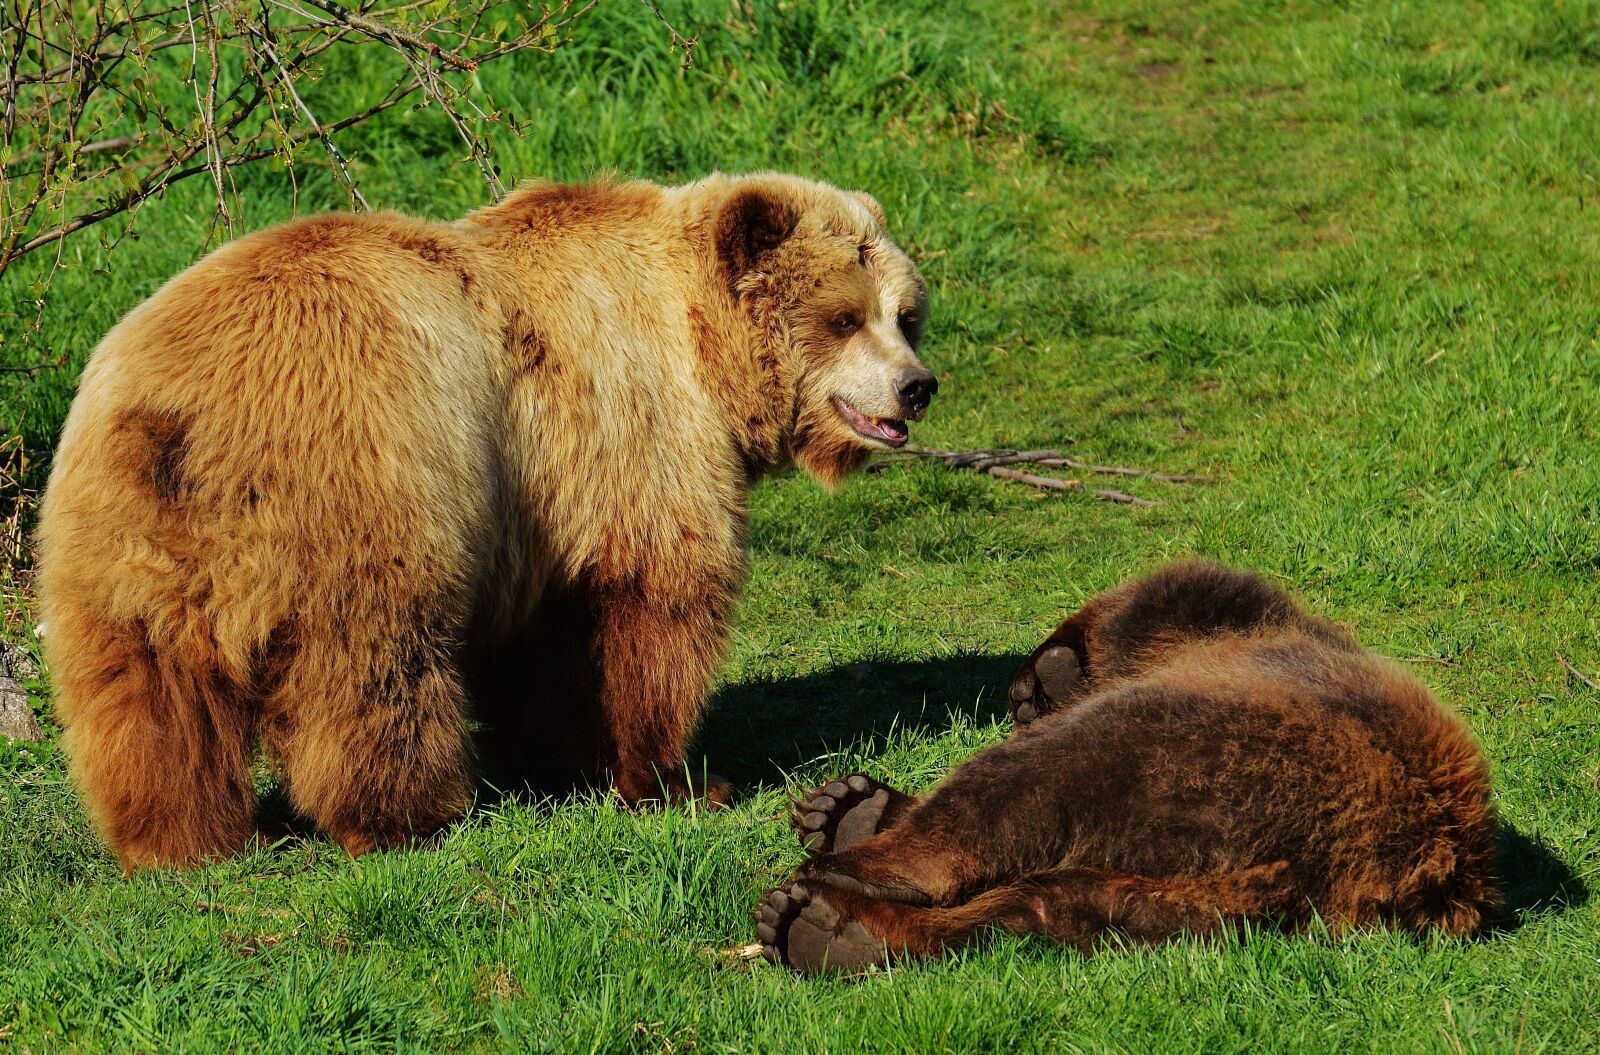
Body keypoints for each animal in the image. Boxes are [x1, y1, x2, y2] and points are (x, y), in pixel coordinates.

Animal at [35, 172, 937, 872]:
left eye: (905, 312)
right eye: (843, 317)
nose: (916, 385)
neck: (698, 342)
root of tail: (175, 416)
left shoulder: (534, 512)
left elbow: (544, 649)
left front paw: (554, 757)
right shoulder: (625, 427)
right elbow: (643, 614)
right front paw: (678, 779)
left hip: (117, 543)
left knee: (149, 701)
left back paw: (175, 836)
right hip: (366, 476)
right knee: (376, 661)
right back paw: (408, 816)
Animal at [756, 562, 1500, 973]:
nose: (1021, 697)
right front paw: (847, 803)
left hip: (1210, 756)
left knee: (1029, 787)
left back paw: (845, 874)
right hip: (1216, 897)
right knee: (1038, 910)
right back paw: (827, 923)